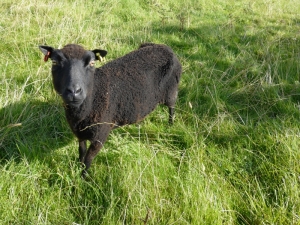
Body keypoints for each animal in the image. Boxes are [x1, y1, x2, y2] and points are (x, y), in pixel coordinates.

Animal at [39, 42, 182, 176]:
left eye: (92, 63)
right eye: (54, 62)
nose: (74, 92)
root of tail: (165, 47)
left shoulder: (100, 136)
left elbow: (88, 159)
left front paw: (83, 178)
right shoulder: (80, 133)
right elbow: (81, 152)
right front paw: (78, 168)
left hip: (171, 90)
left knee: (172, 108)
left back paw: (170, 124)